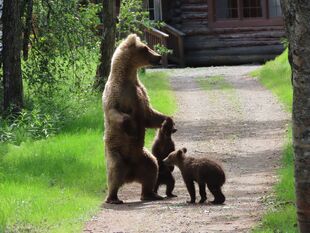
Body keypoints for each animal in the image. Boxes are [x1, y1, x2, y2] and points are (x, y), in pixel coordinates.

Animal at [103, 34, 168, 204]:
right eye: (145, 48)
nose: (159, 56)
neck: (128, 76)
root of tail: (130, 175)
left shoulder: (140, 92)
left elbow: (149, 114)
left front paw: (168, 121)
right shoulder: (116, 93)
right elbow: (114, 111)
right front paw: (131, 127)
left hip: (143, 158)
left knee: (152, 169)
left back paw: (151, 194)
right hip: (115, 153)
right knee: (115, 171)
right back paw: (113, 198)